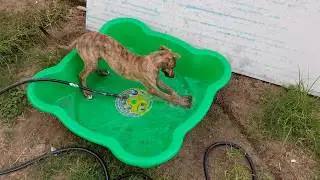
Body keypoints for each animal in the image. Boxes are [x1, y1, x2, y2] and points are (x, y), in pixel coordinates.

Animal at [38, 28, 191, 107]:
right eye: (173, 67)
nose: (173, 76)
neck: (152, 62)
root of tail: (81, 37)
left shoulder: (158, 81)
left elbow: (170, 90)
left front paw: (180, 97)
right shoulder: (152, 88)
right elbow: (166, 96)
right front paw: (181, 102)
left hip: (95, 59)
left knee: (92, 69)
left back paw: (102, 72)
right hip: (91, 60)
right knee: (81, 75)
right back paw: (86, 92)